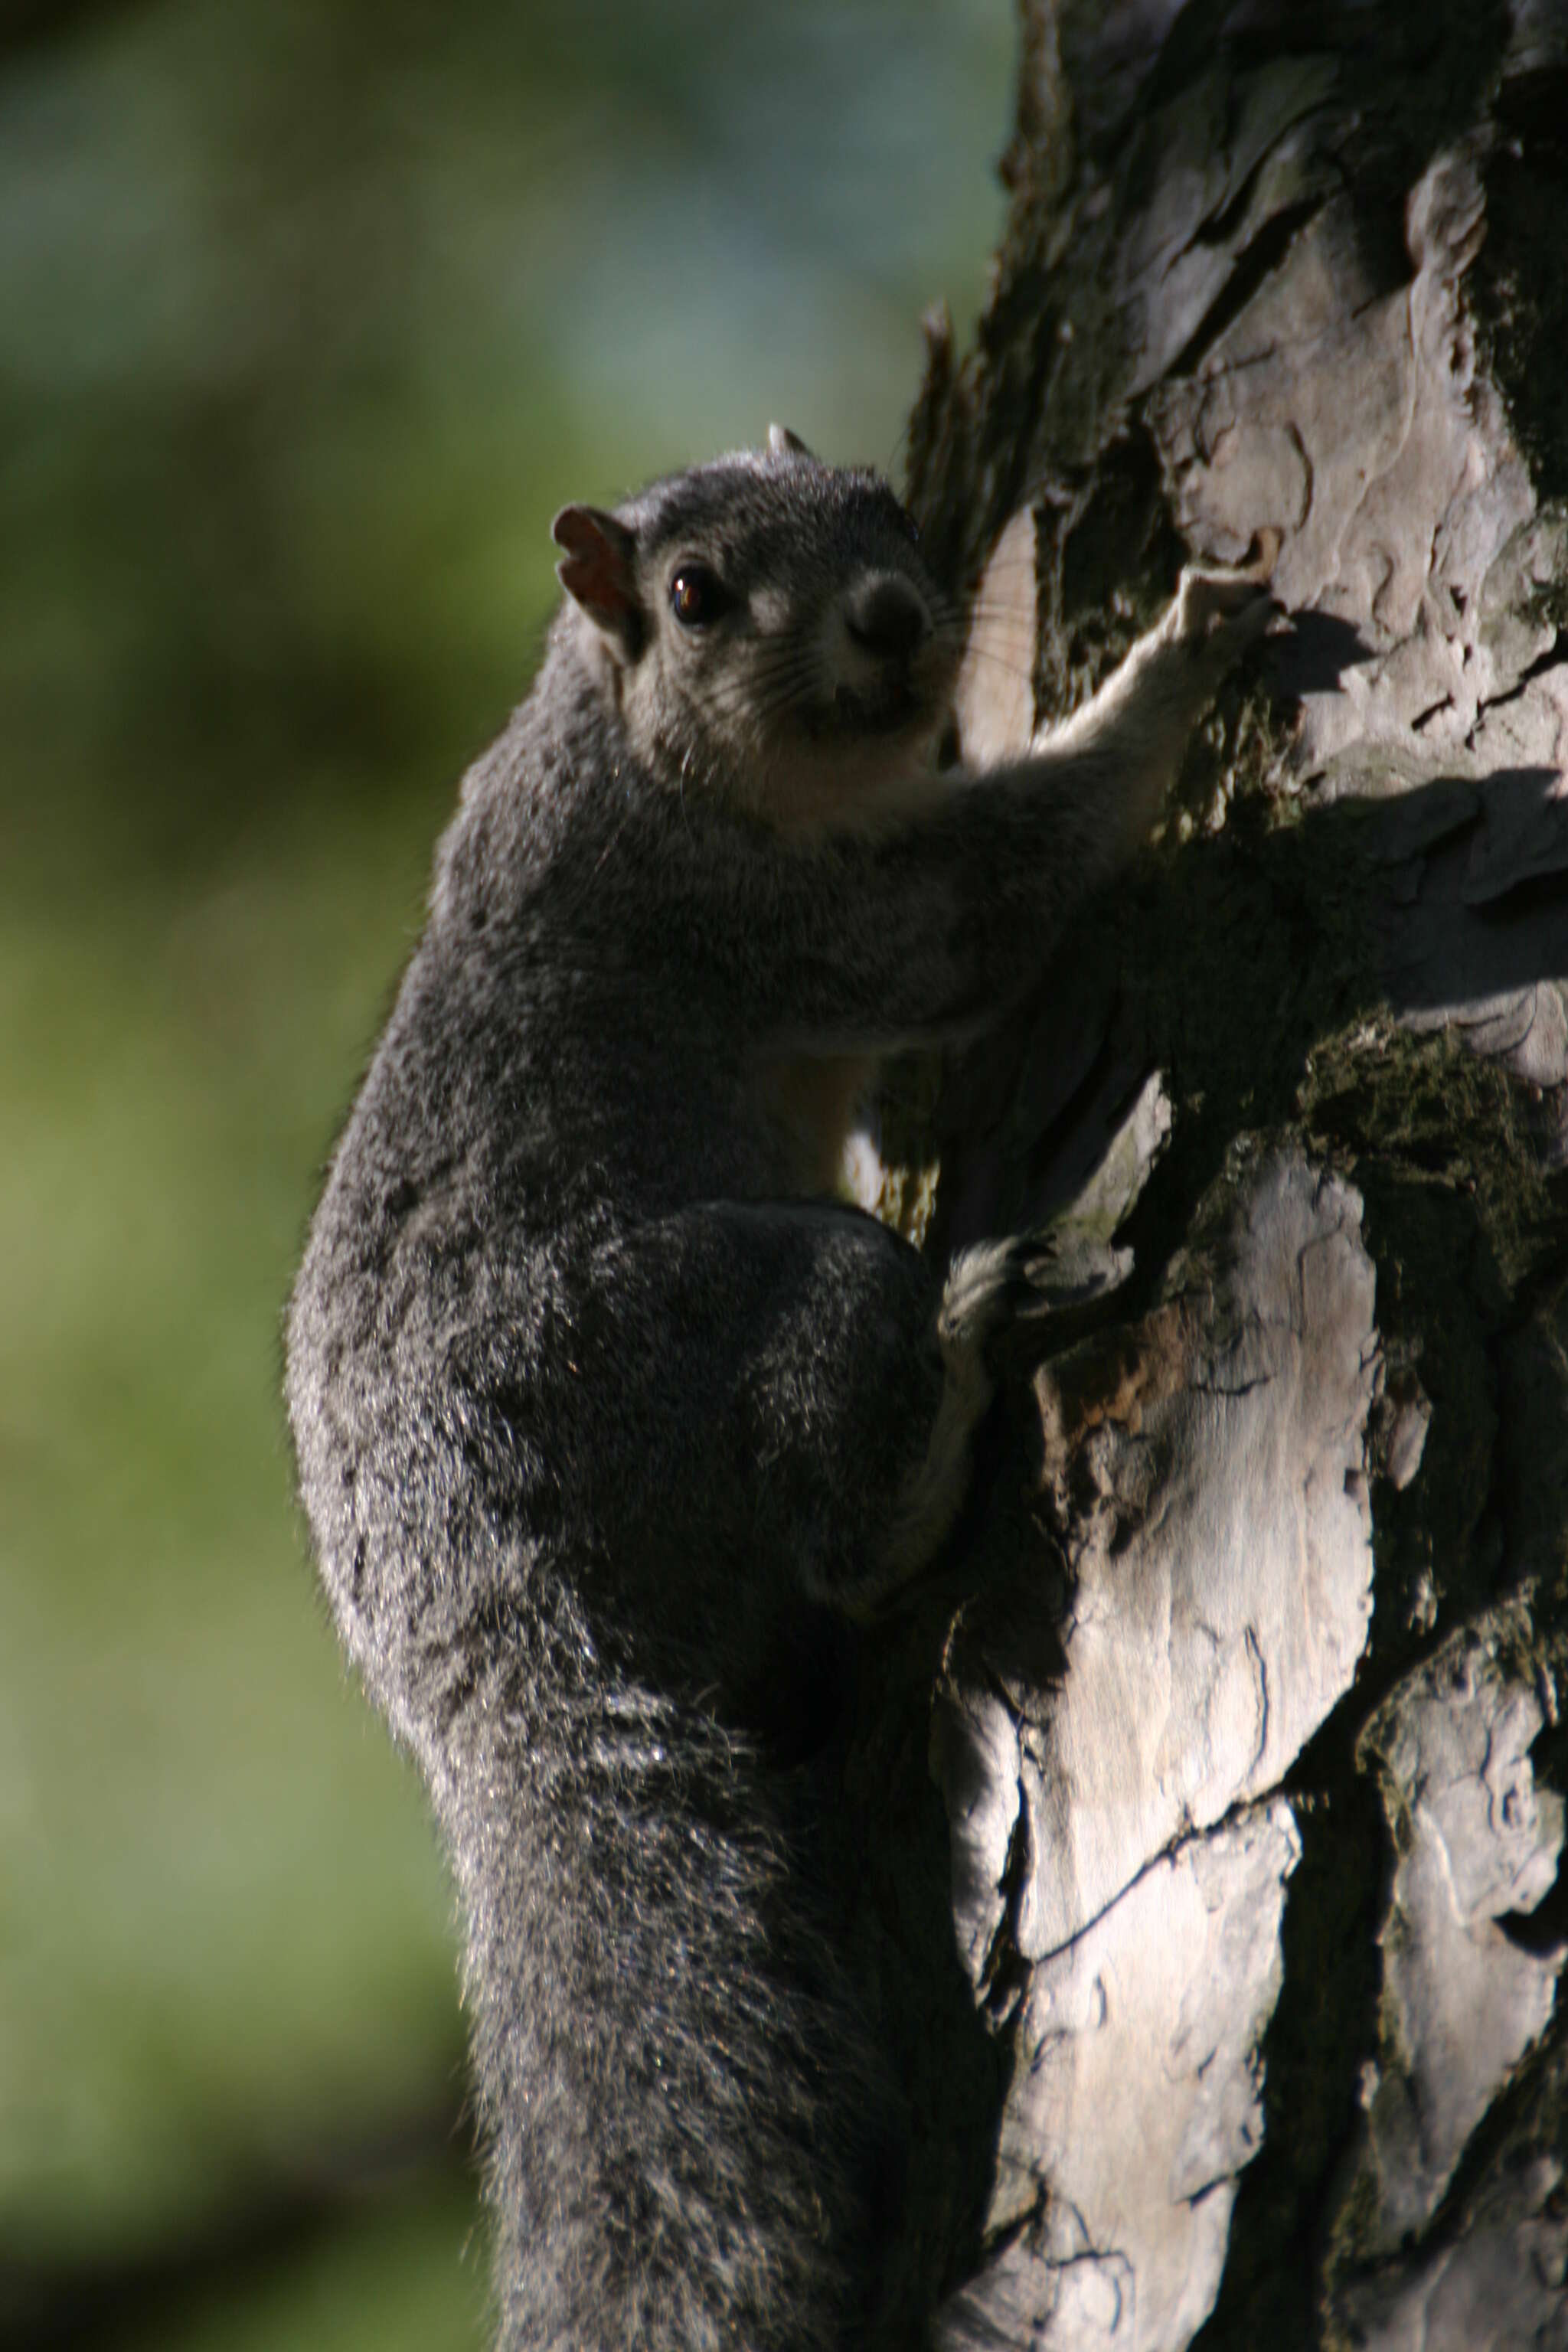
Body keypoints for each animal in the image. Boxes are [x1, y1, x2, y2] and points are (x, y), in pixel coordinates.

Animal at [286, 428, 1279, 2352]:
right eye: (692, 595)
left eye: (885, 503)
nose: (894, 619)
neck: (622, 737)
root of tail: (472, 1638)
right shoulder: (752, 908)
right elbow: (975, 905)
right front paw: (1172, 664)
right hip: (725, 1320)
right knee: (847, 1531)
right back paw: (959, 1357)